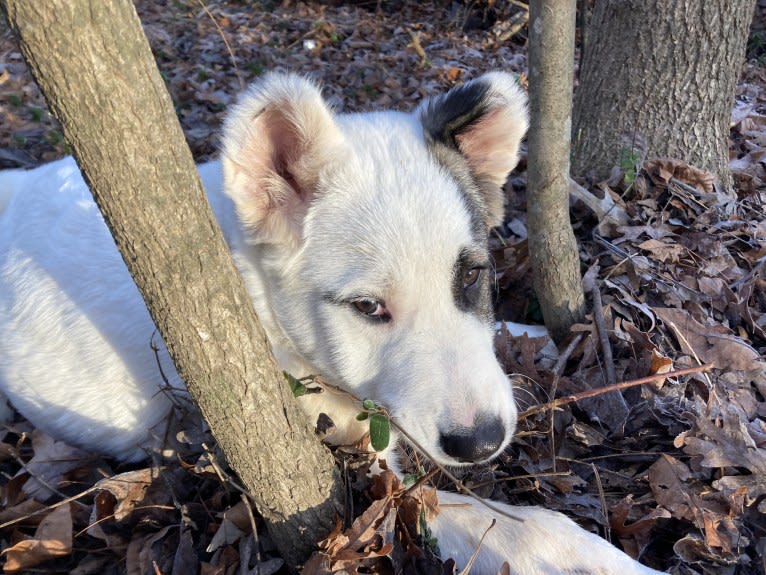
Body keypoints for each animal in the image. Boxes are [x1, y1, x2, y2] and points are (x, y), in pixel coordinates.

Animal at [0, 74, 660, 572]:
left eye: (471, 276)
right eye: (367, 309)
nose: (481, 441)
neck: (262, 307)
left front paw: (553, 337)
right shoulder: (368, 485)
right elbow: (530, 528)